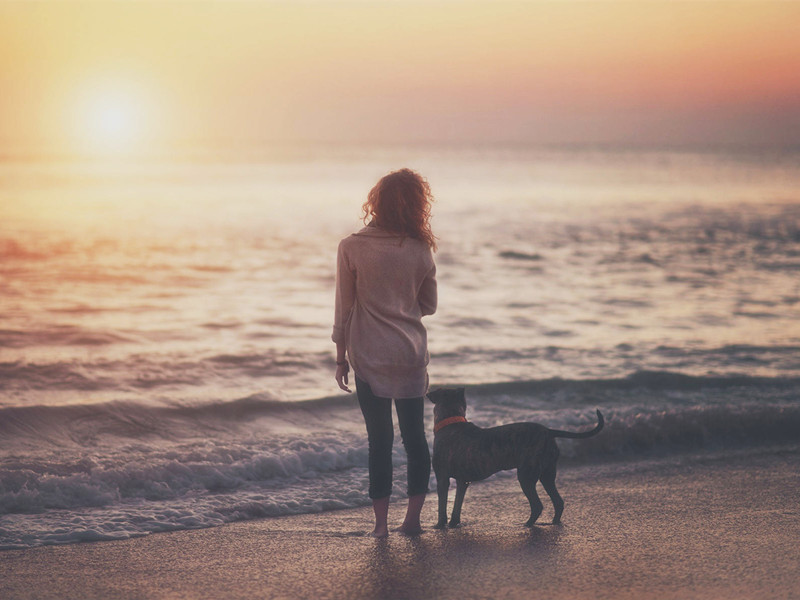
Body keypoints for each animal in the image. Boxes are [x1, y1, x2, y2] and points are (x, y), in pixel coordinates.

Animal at [428, 386, 604, 528]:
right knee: (558, 501)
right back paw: (553, 522)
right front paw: (453, 523)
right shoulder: (462, 481)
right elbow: (457, 504)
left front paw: (439, 525)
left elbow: (442, 505)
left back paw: (528, 524)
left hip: (526, 475)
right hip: (547, 474)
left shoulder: (442, 478)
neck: (451, 421)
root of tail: (548, 431)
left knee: (537, 505)